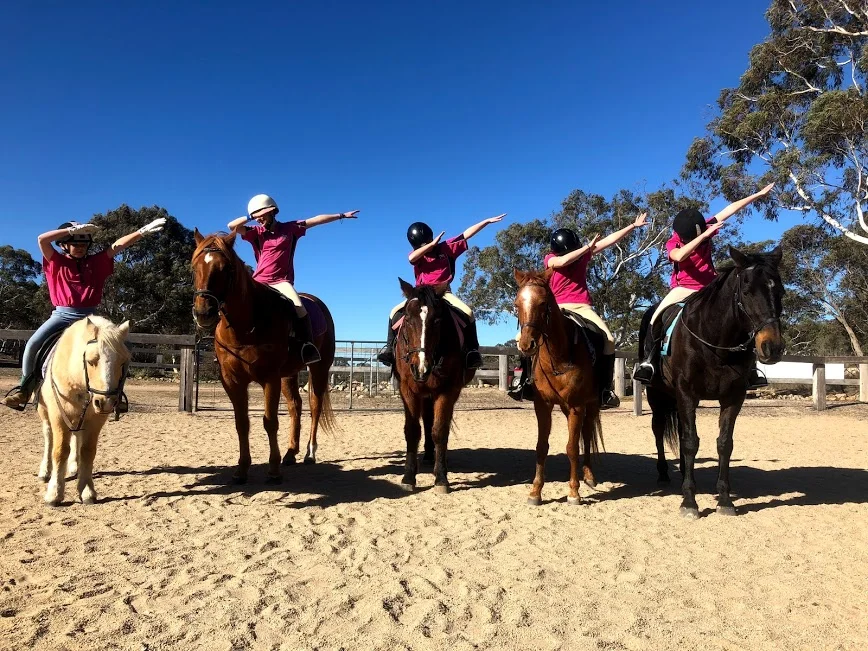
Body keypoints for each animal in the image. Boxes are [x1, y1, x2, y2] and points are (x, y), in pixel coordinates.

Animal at [37, 316, 130, 506]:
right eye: (90, 360)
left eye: (122, 362)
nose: (105, 402)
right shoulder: (58, 415)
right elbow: (59, 450)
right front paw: (54, 493)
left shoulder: (94, 420)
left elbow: (87, 451)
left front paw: (86, 491)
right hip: (44, 411)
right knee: (48, 436)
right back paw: (45, 471)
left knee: (77, 437)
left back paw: (74, 466)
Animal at [191, 231, 337, 484]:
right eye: (194, 267)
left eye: (226, 268)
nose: (203, 313)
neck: (245, 326)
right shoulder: (232, 380)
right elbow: (242, 423)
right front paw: (241, 470)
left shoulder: (269, 378)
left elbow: (270, 422)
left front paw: (273, 470)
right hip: (289, 374)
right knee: (295, 407)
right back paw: (290, 453)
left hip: (319, 369)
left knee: (315, 406)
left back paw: (309, 453)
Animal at [393, 280, 476, 493]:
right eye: (407, 319)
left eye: (437, 321)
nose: (421, 367)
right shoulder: (408, 390)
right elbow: (412, 430)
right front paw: (408, 476)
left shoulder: (447, 391)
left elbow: (439, 430)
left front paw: (441, 478)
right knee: (427, 420)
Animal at [513, 268, 604, 506]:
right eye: (516, 305)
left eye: (543, 303)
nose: (526, 345)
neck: (557, 357)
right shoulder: (543, 406)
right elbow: (541, 446)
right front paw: (535, 491)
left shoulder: (576, 407)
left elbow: (572, 447)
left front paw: (573, 492)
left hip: (591, 405)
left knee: (587, 434)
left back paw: (589, 475)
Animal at [639, 246, 785, 518]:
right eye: (747, 292)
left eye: (780, 291)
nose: (773, 347)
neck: (716, 341)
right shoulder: (686, 393)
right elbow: (689, 442)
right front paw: (689, 502)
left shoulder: (733, 397)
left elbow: (724, 444)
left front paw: (725, 500)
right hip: (656, 396)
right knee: (659, 430)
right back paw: (664, 473)